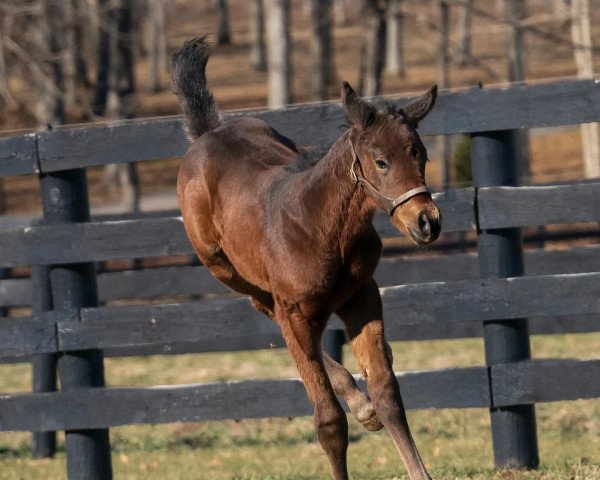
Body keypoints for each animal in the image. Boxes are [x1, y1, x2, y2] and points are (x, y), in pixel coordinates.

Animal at [172, 38, 440, 480]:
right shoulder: (295, 311)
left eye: (421, 155)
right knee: (263, 305)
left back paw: (360, 401)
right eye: (381, 161)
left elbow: (387, 393)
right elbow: (328, 420)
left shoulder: (362, 297)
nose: (427, 222)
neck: (320, 228)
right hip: (222, 266)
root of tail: (208, 132)